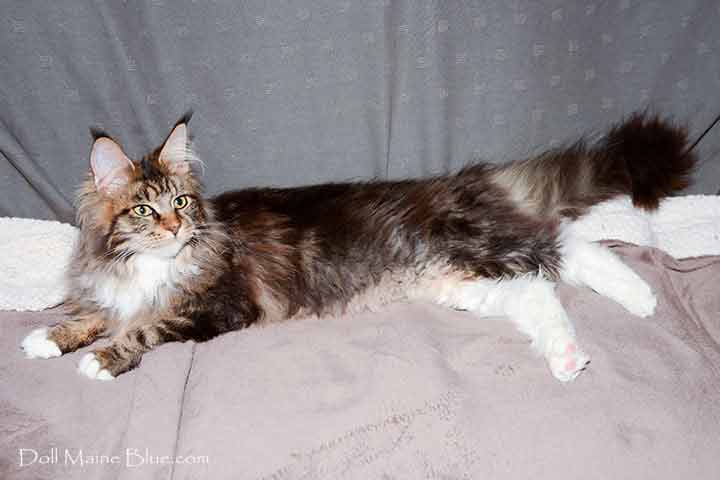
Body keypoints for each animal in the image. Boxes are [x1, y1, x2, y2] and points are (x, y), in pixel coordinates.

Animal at [21, 113, 695, 382]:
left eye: (182, 202)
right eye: (143, 209)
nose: (175, 229)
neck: (151, 265)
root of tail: (466, 181)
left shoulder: (218, 306)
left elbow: (145, 327)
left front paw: (103, 360)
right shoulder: (114, 290)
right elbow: (93, 313)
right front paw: (47, 339)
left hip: (481, 248)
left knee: (568, 244)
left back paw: (637, 300)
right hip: (464, 280)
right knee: (543, 289)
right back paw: (569, 355)